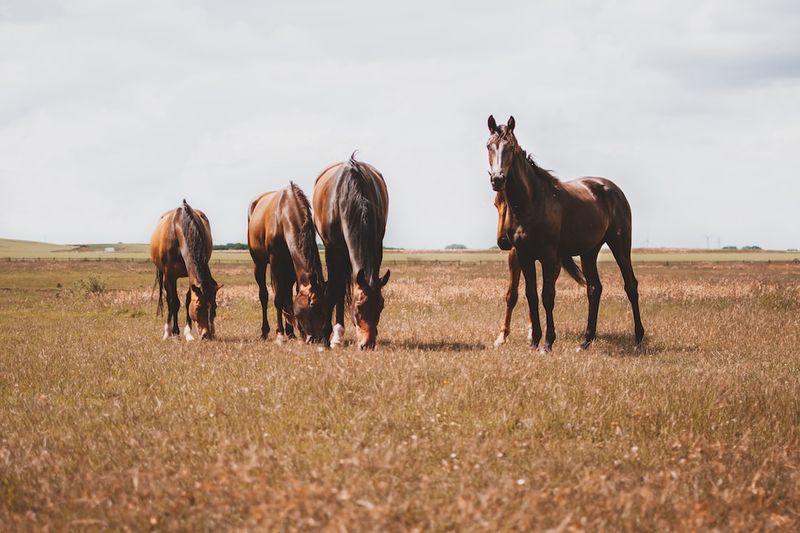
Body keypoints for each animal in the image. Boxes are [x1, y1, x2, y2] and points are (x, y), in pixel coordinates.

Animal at [148, 200, 219, 340]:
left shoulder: (190, 274)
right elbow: (173, 302)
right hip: (165, 276)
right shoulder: (170, 275)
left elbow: (187, 301)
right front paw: (171, 332)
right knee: (169, 300)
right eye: (198, 308)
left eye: (215, 307)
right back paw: (171, 331)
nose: (207, 335)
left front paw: (188, 333)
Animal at [248, 181, 326, 342]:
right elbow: (278, 298)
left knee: (287, 295)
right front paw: (279, 332)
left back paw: (290, 331)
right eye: (312, 305)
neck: (283, 216)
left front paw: (297, 331)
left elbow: (290, 295)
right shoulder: (276, 262)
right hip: (259, 263)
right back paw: (265, 331)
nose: (317, 339)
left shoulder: (292, 266)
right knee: (264, 295)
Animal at [310, 154, 390, 350]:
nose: (367, 344)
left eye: (381, 306)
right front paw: (324, 339)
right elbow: (332, 290)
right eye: (359, 306)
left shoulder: (377, 245)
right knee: (338, 287)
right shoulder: (332, 248)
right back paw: (335, 336)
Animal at [484, 114, 648, 352]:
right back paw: (585, 341)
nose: (497, 179)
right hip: (589, 252)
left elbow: (547, 295)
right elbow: (531, 295)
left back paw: (638, 338)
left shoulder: (549, 255)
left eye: (511, 147)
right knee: (594, 288)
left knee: (631, 285)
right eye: (489, 146)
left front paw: (548, 343)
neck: (532, 202)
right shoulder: (524, 255)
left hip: (620, 245)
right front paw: (534, 341)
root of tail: (612, 189)